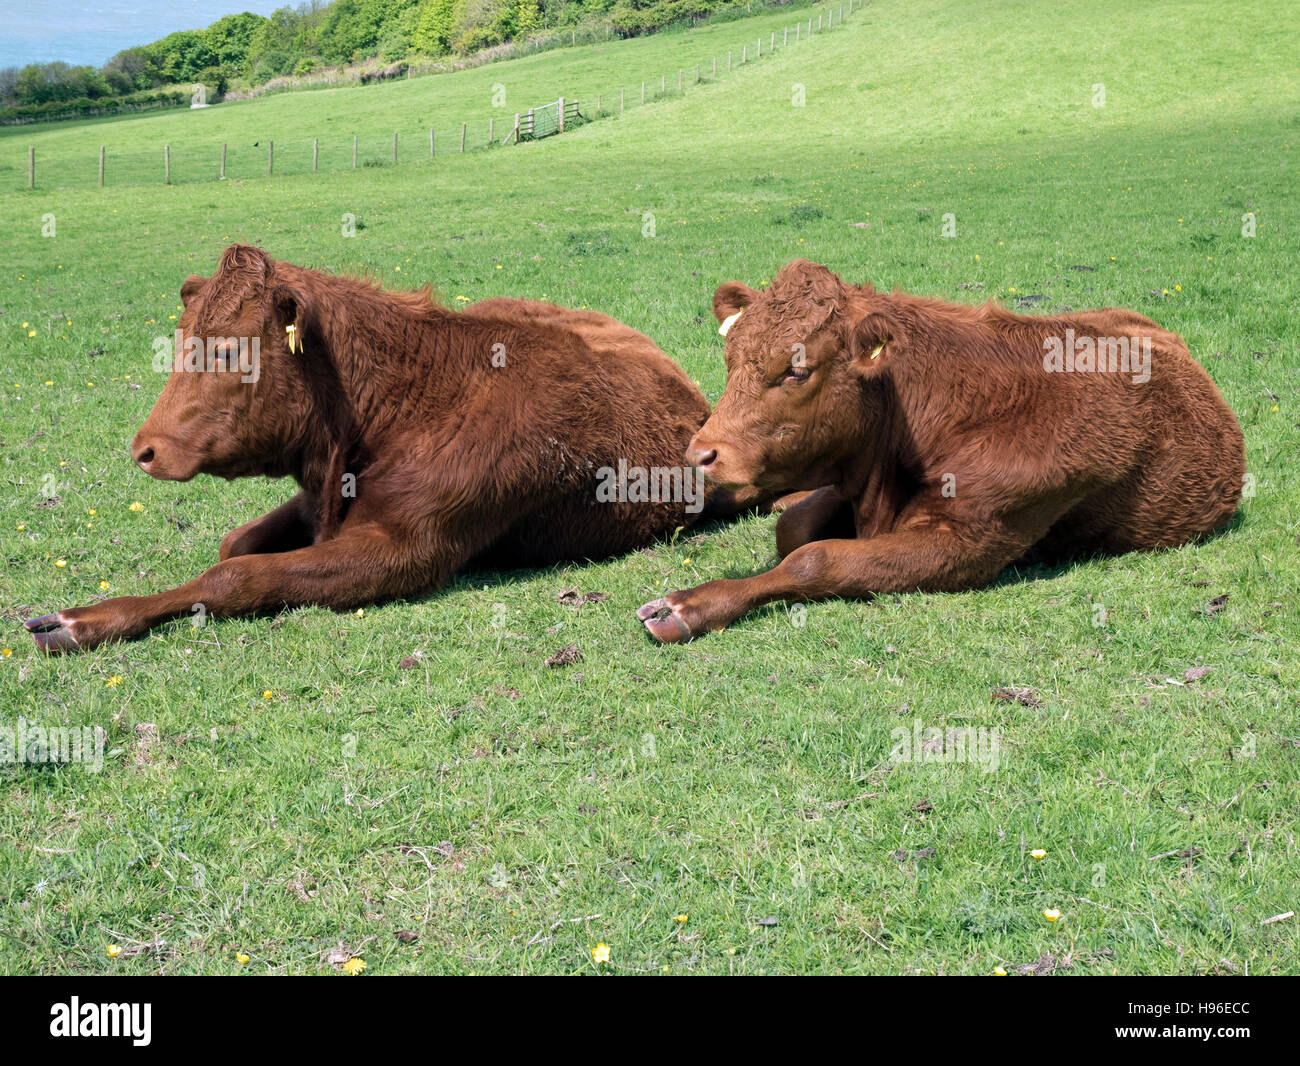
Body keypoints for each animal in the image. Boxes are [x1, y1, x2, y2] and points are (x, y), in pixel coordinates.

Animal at [22, 245, 759, 652]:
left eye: (229, 350)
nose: (145, 449)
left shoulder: (404, 547)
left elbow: (237, 574)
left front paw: (82, 620)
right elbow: (235, 545)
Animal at [634, 260, 1242, 642]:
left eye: (797, 369)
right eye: (730, 359)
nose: (701, 454)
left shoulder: (969, 541)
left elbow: (814, 558)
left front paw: (687, 606)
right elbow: (794, 530)